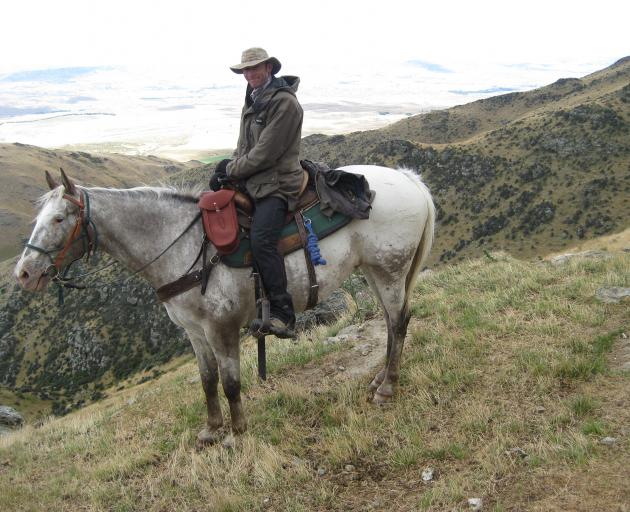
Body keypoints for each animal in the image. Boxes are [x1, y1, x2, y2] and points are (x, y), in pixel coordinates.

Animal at [17, 165, 436, 444]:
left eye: (59, 219)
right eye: (38, 218)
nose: (23, 273)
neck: (182, 244)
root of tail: (410, 180)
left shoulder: (223, 327)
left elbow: (232, 381)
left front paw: (236, 432)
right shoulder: (194, 331)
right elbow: (207, 380)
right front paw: (212, 429)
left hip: (390, 270)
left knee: (399, 320)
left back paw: (387, 389)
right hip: (374, 272)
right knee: (389, 320)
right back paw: (379, 379)